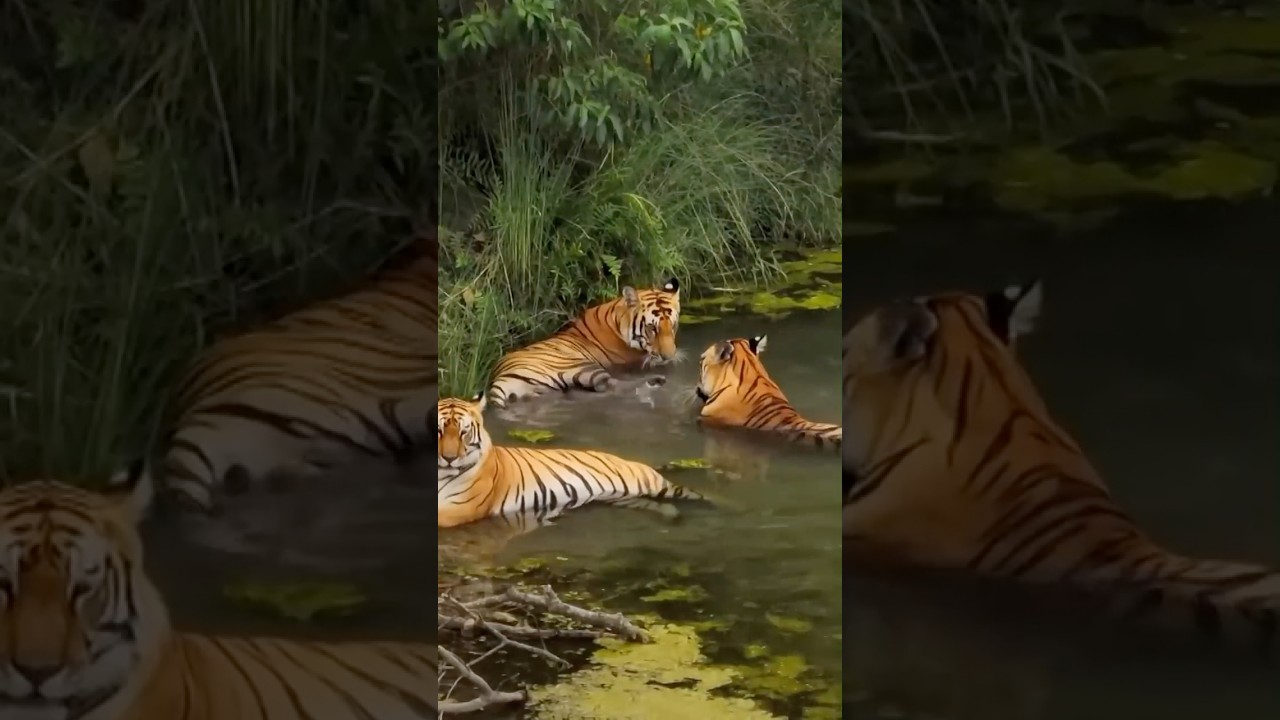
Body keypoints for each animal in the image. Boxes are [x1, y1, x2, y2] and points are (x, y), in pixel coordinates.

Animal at [436, 394, 703, 528]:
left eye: (463, 432)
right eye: (439, 430)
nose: (449, 458)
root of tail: (626, 459)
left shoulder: (462, 507)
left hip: (652, 484)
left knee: (691, 493)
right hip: (623, 497)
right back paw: (672, 517)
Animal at [486, 279, 681, 408]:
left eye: (672, 325)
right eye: (652, 328)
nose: (668, 357)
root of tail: (500, 376)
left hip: (545, 391)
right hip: (580, 365)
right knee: (610, 385)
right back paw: (655, 382)